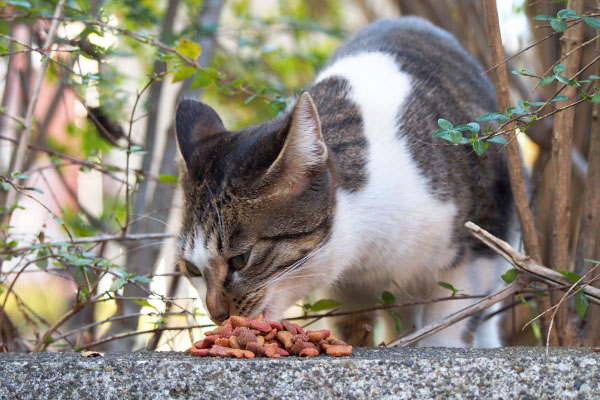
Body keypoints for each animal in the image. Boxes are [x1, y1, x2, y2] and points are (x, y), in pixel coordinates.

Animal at [176, 16, 512, 346]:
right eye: (191, 268)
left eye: (241, 259)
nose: (217, 313)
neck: (366, 249)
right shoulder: (347, 291)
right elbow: (352, 329)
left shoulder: (478, 246)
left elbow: (449, 328)